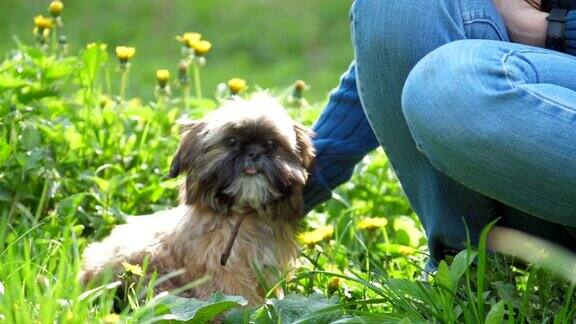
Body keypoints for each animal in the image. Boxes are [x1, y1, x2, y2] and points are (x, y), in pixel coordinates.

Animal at [79, 93, 316, 304]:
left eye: (272, 144)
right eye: (231, 141)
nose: (255, 152)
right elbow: (238, 298)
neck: (243, 213)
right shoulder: (220, 268)